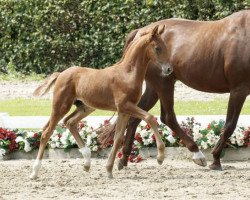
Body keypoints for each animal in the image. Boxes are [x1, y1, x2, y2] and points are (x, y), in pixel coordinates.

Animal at [30, 24, 173, 179]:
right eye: (157, 48)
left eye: (165, 46)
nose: (169, 69)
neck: (128, 73)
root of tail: (61, 74)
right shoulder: (125, 106)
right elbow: (150, 118)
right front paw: (160, 157)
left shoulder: (124, 111)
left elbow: (118, 138)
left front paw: (109, 170)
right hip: (61, 106)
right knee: (46, 132)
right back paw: (34, 172)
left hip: (85, 107)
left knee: (69, 122)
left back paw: (87, 162)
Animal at [99, 9, 250, 170]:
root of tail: (140, 32)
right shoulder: (238, 89)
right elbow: (229, 125)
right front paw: (215, 160)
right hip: (164, 83)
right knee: (168, 117)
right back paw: (197, 154)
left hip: (154, 88)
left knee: (136, 117)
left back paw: (124, 158)